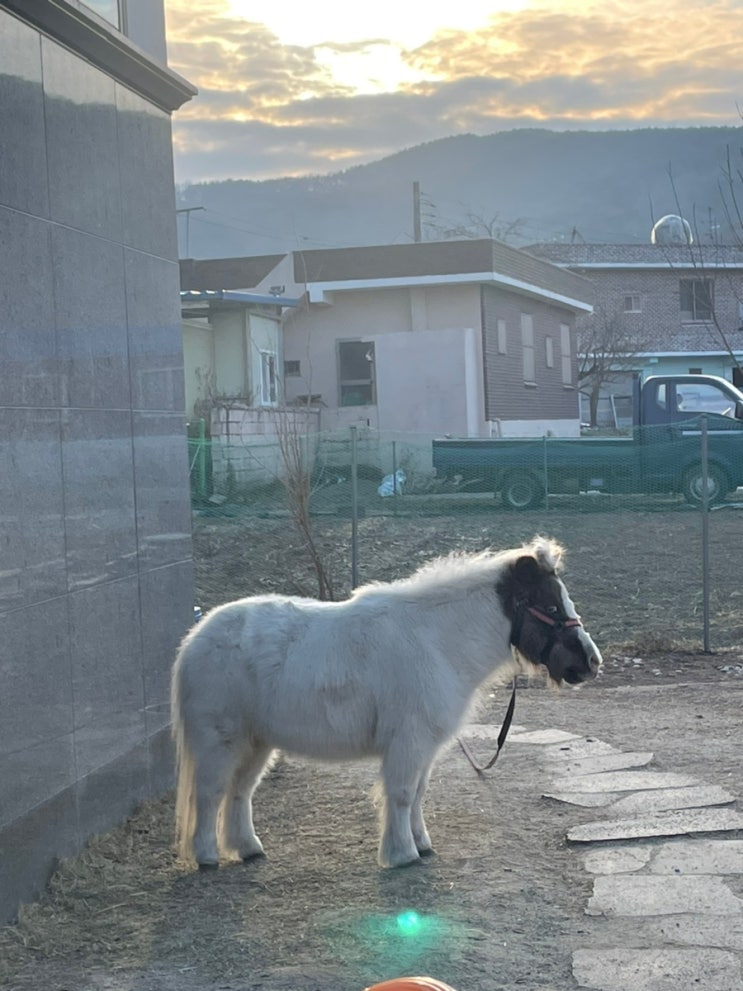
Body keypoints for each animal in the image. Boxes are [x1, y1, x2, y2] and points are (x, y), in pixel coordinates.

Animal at [171, 540, 600, 872]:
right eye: (551, 606)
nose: (590, 662)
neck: (437, 642)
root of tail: (195, 638)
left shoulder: (424, 747)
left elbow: (418, 793)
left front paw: (421, 844)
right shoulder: (408, 742)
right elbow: (402, 794)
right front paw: (402, 854)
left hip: (257, 743)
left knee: (239, 792)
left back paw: (248, 849)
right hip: (220, 741)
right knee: (209, 793)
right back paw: (206, 856)